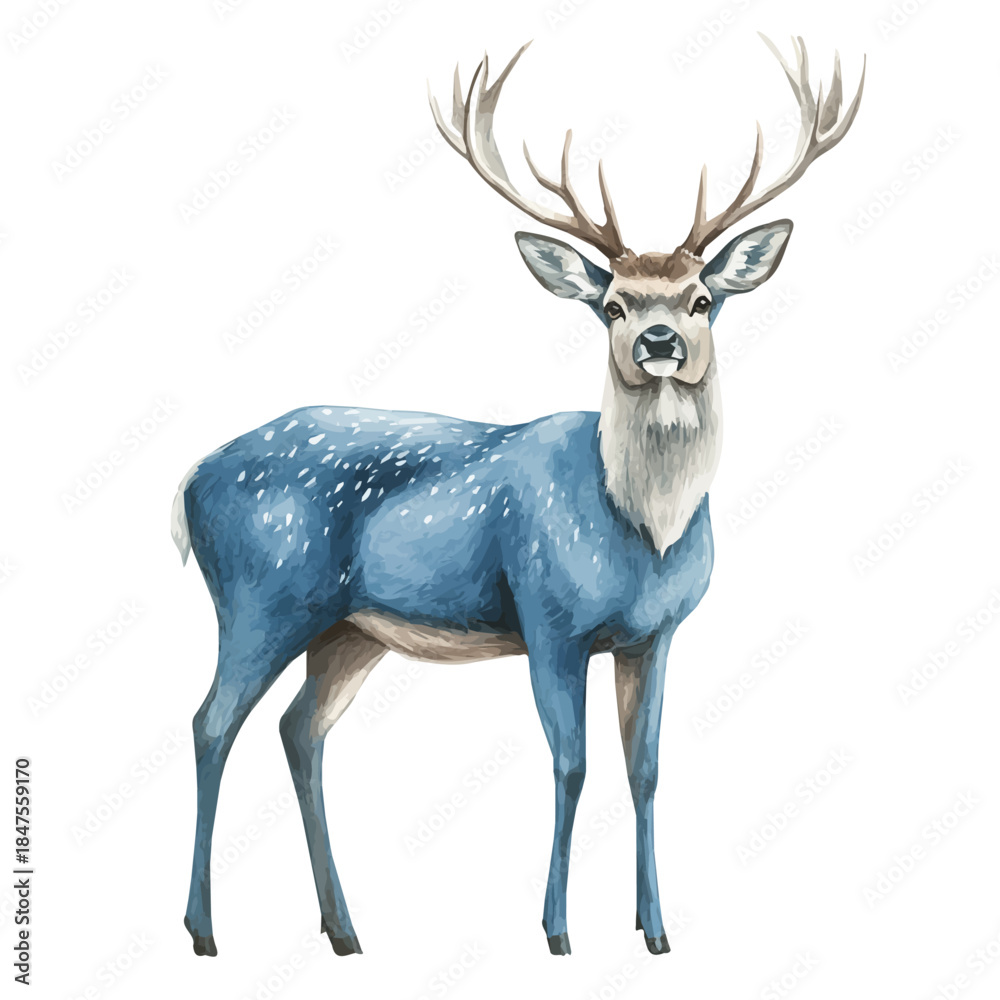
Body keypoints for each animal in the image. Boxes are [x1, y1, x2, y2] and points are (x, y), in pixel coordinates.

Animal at [174, 35, 864, 959]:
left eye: (702, 298)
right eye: (611, 303)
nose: (658, 341)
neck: (644, 530)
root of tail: (191, 479)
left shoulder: (655, 637)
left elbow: (645, 770)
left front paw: (655, 931)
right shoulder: (549, 618)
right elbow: (571, 764)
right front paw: (557, 931)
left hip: (347, 628)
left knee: (298, 730)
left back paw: (344, 930)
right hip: (263, 595)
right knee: (212, 723)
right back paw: (204, 929)